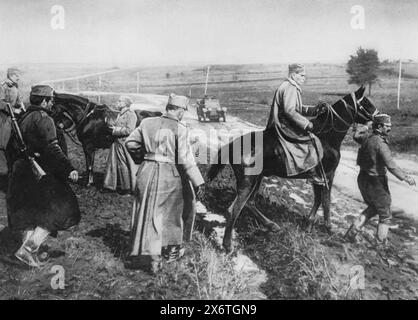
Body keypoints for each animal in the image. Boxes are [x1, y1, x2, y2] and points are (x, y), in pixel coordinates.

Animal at [207, 86, 380, 251]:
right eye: (366, 103)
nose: (380, 119)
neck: (327, 137)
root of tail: (231, 144)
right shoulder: (328, 175)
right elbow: (326, 201)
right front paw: (329, 229)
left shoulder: (317, 177)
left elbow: (318, 199)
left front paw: (309, 224)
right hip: (249, 180)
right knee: (235, 210)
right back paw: (228, 245)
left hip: (258, 178)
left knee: (249, 204)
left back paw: (271, 225)